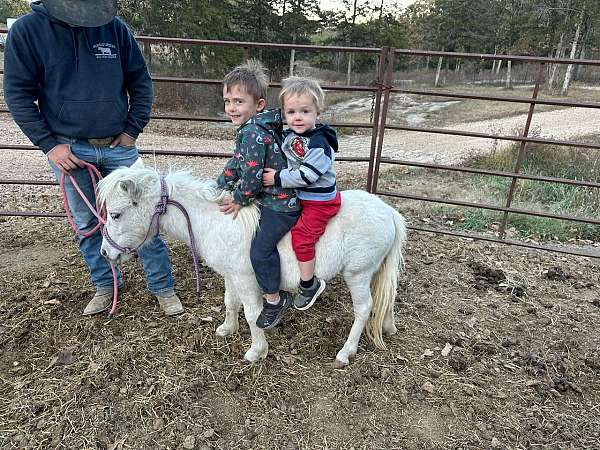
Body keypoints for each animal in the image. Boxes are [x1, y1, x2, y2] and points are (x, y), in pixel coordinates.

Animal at [98, 163, 408, 368]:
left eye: (116, 214)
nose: (104, 252)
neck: (216, 220)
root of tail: (389, 212)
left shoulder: (246, 279)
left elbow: (253, 313)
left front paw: (256, 351)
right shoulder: (230, 276)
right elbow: (230, 303)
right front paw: (227, 329)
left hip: (358, 274)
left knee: (363, 309)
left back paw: (346, 352)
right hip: (375, 271)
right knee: (387, 298)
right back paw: (389, 327)